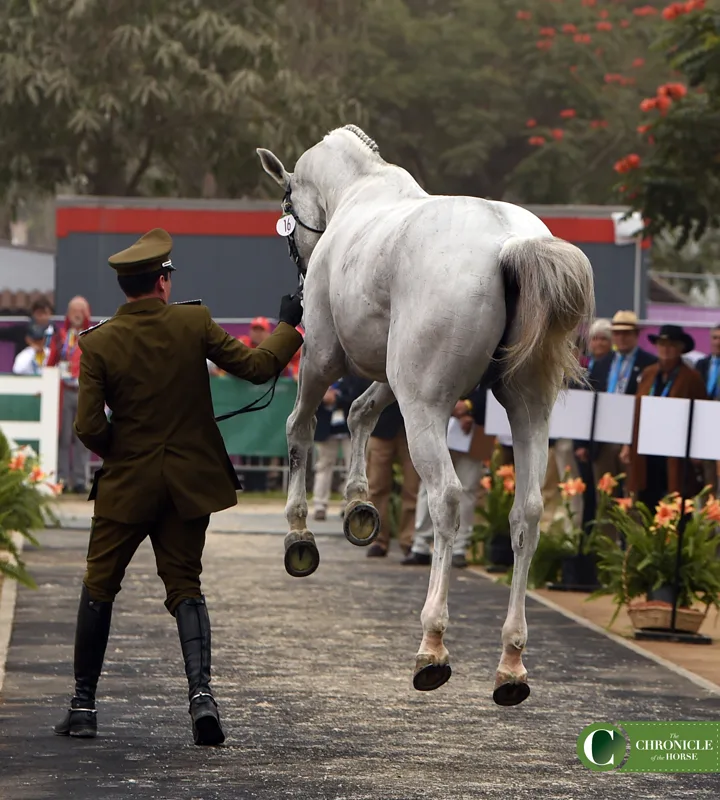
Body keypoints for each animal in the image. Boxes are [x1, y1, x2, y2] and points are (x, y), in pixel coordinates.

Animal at [256, 126, 592, 708]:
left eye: (287, 206)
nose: (297, 270)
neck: (361, 192)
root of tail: (509, 245)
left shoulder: (322, 355)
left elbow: (301, 427)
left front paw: (299, 533)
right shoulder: (390, 376)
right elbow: (362, 412)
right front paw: (358, 507)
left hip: (425, 405)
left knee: (447, 500)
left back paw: (433, 646)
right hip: (526, 409)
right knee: (526, 512)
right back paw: (511, 663)